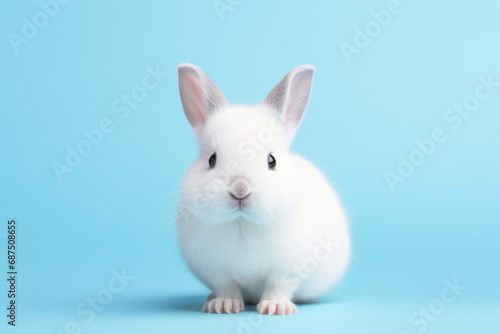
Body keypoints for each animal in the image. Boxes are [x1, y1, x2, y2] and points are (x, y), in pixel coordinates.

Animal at [178, 63, 350, 316]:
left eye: (272, 160)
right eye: (211, 160)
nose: (240, 190)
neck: (242, 223)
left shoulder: (286, 269)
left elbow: (278, 286)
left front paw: (275, 308)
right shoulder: (216, 269)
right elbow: (227, 286)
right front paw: (224, 305)